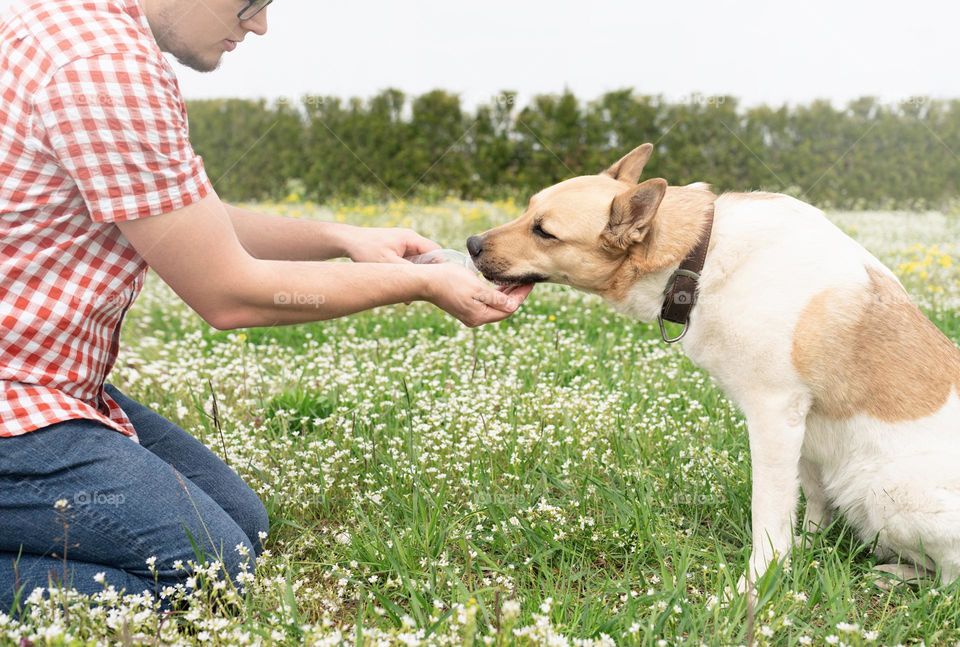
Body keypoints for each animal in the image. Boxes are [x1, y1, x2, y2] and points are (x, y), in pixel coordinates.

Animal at [466, 144, 960, 588]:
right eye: (528, 210)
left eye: (544, 231)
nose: (470, 244)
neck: (697, 256)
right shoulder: (802, 433)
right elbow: (811, 504)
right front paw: (806, 549)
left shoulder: (773, 415)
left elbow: (770, 518)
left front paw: (756, 585)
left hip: (887, 492)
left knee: (946, 579)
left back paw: (895, 575)